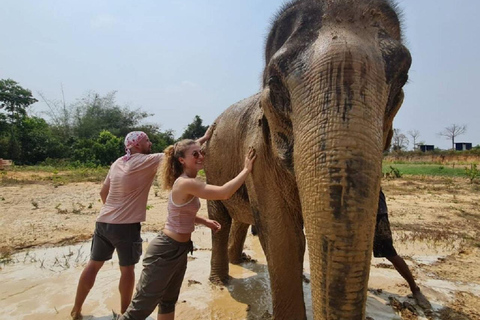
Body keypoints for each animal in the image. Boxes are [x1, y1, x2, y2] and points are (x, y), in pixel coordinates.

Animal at [204, 1, 410, 318]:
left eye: (402, 81)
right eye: (275, 83)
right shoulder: (260, 151)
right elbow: (283, 238)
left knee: (241, 218)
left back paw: (241, 261)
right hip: (211, 166)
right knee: (220, 220)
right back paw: (220, 281)